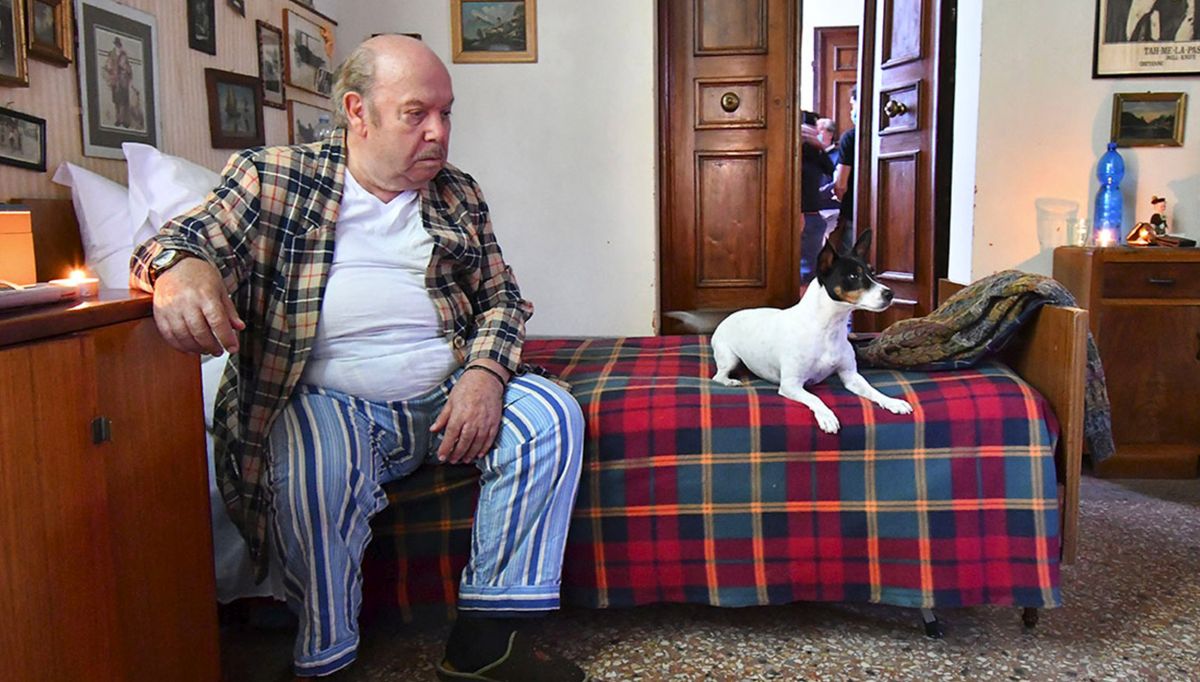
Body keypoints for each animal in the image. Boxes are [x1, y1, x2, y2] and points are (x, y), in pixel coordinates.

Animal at [710, 229, 913, 433]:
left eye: (872, 272)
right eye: (853, 277)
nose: (890, 294)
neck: (828, 329)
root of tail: (729, 316)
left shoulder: (851, 376)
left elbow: (872, 389)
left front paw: (892, 402)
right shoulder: (791, 385)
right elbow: (815, 398)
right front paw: (827, 416)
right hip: (729, 358)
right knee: (718, 376)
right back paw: (730, 381)